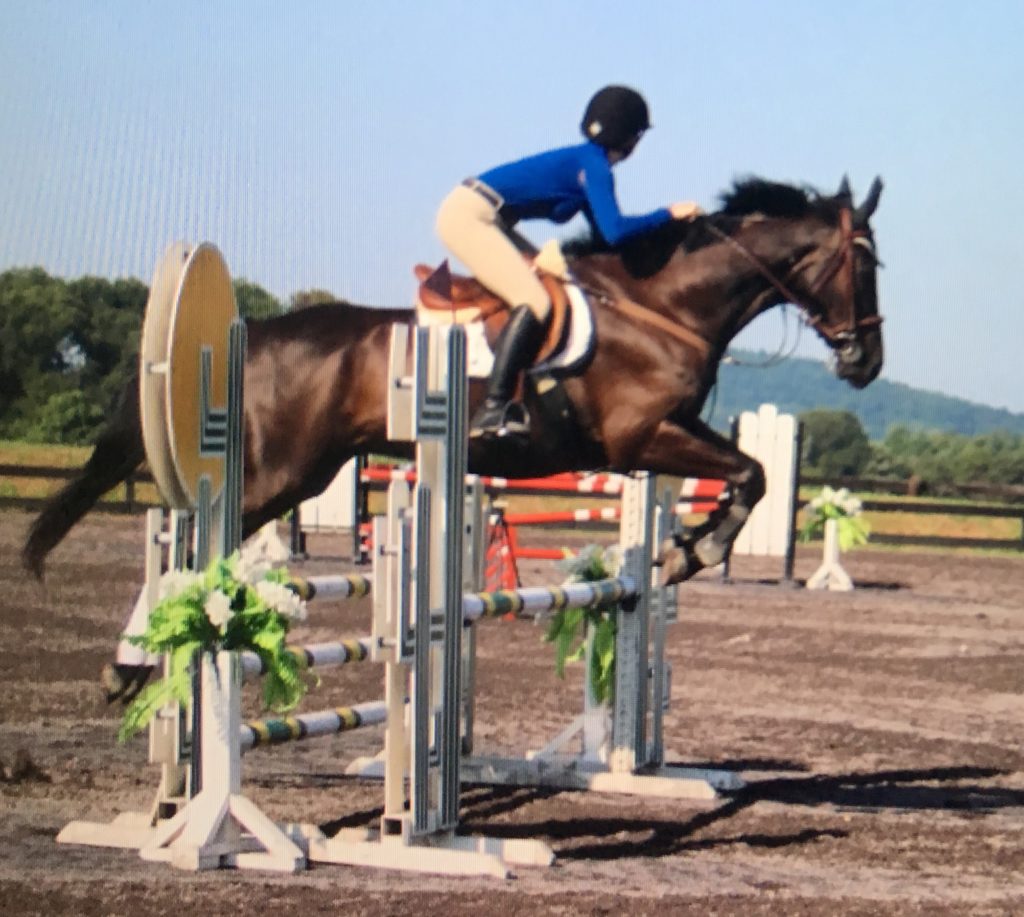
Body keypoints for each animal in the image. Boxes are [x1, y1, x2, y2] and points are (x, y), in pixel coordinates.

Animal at [23, 175, 884, 587]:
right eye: (867, 263)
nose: (866, 363)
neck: (663, 302)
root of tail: (256, 334)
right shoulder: (642, 435)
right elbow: (755, 472)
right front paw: (688, 554)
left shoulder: (666, 434)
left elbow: (750, 471)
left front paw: (680, 548)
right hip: (278, 472)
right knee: (208, 533)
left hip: (308, 468)